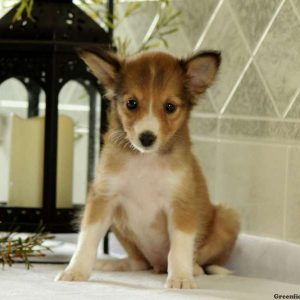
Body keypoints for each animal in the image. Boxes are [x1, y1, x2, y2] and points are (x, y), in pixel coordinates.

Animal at [55, 48, 240, 288]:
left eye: (170, 107)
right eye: (132, 103)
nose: (147, 138)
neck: (145, 160)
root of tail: (157, 266)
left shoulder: (181, 204)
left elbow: (180, 246)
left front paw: (181, 278)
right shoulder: (103, 197)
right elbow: (87, 237)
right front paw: (75, 270)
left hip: (228, 217)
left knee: (198, 259)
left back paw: (194, 269)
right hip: (118, 224)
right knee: (139, 262)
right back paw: (115, 264)